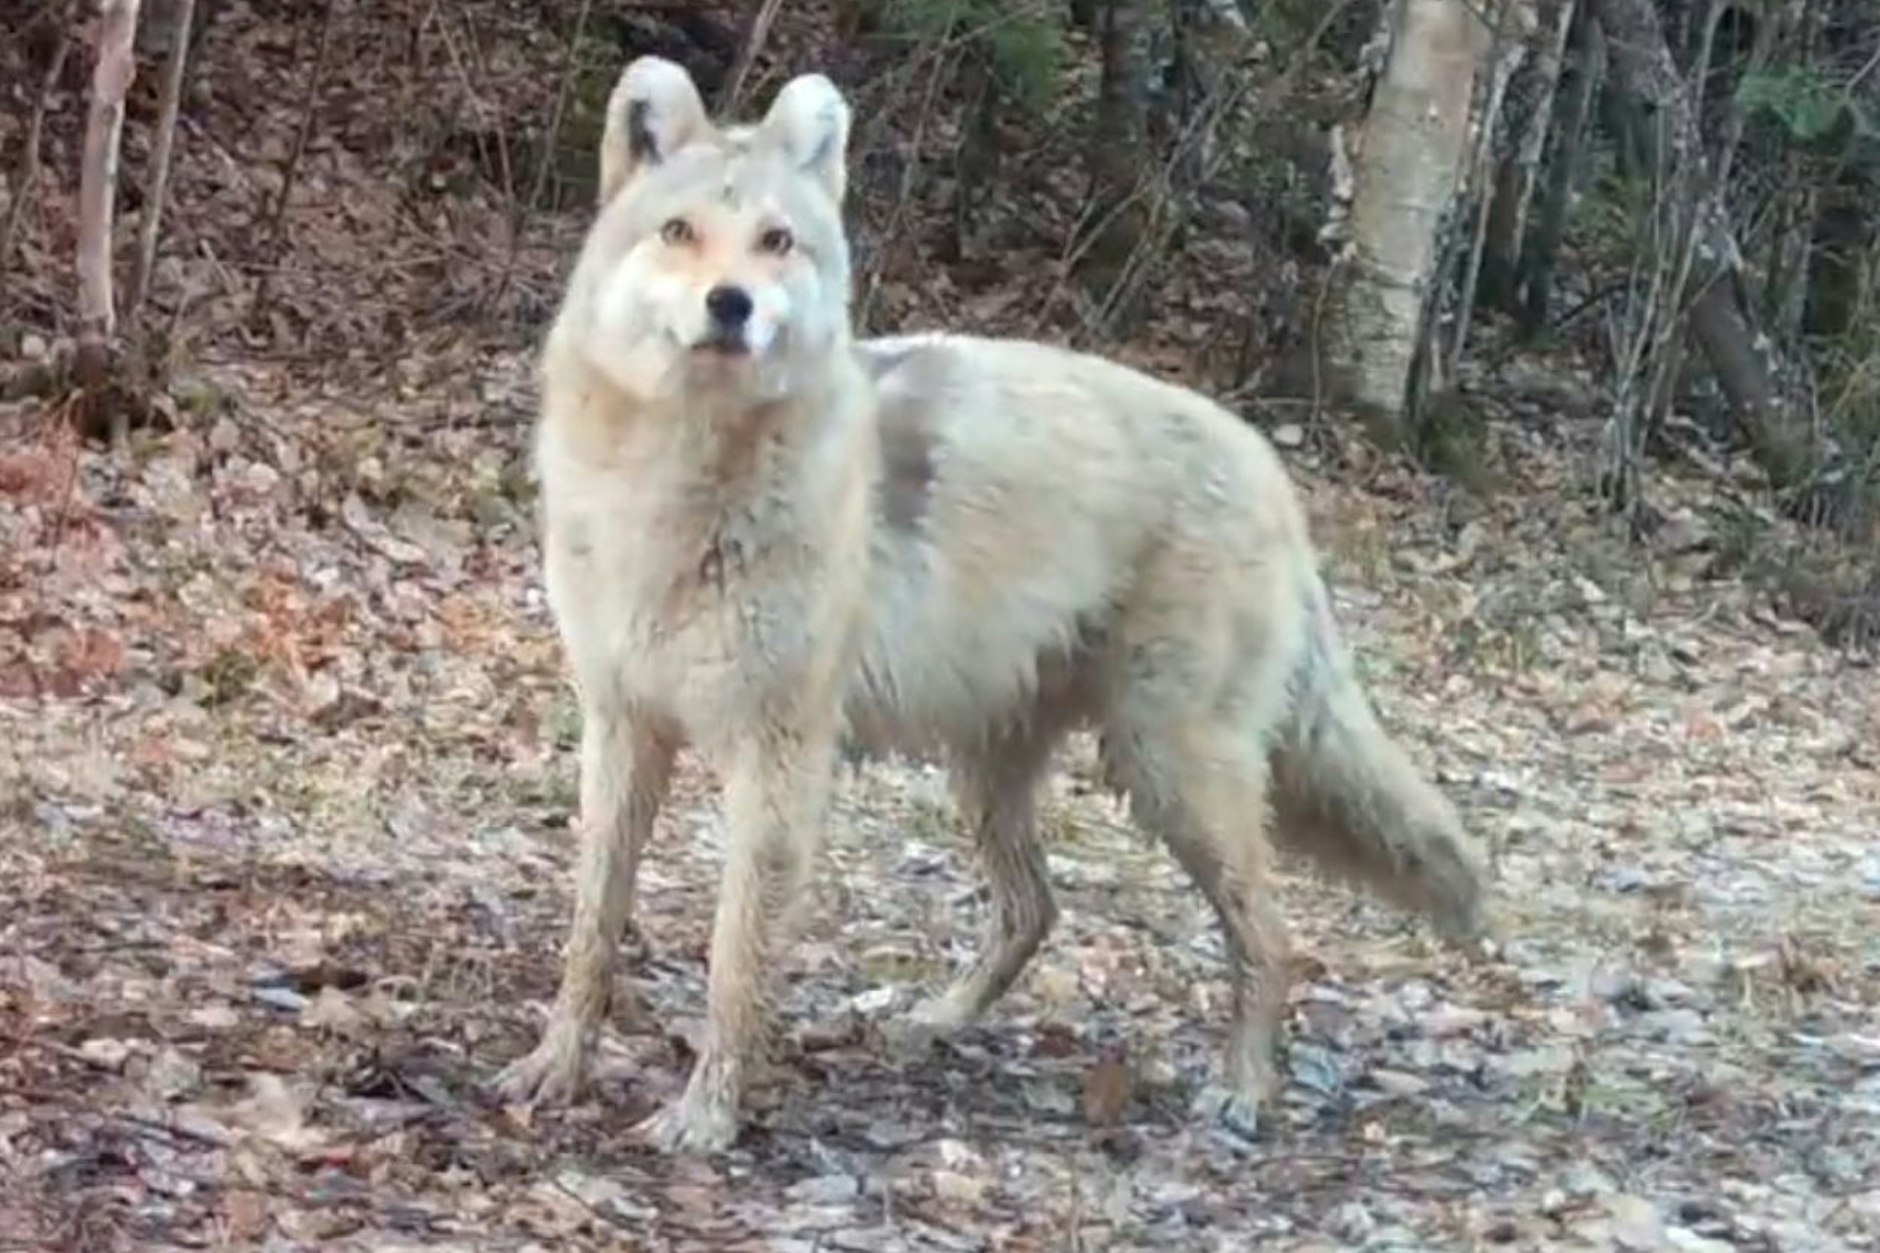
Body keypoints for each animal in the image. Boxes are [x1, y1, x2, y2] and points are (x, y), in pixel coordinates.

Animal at [493, 55, 1490, 1154]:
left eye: (775, 241)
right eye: (679, 232)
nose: (731, 304)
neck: (678, 484)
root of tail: (1271, 471)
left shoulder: (779, 759)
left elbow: (732, 957)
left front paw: (706, 1116)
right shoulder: (621, 728)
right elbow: (592, 925)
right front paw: (554, 1066)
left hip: (1165, 771)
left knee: (1273, 935)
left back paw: (1241, 1093)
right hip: (994, 772)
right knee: (1036, 909)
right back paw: (930, 1023)